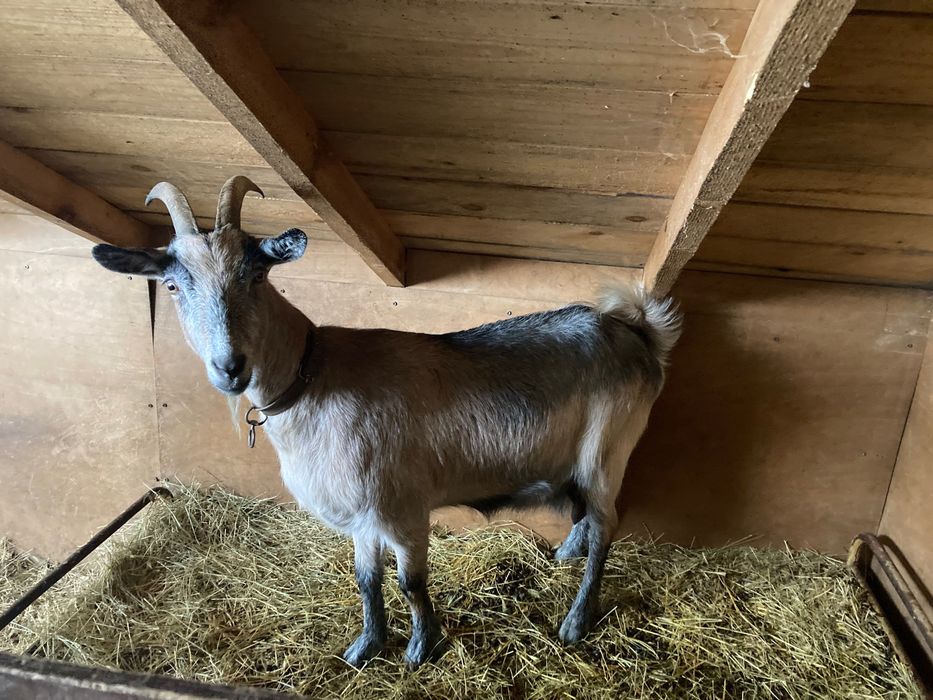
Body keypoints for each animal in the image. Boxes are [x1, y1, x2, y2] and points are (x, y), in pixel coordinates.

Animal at [91, 176, 681, 669]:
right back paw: (562, 556)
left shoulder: (402, 509)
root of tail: (635, 333)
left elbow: (409, 583)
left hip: (607, 452)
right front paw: (365, 647)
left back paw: (576, 622)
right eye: (173, 286)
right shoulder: (361, 516)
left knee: (605, 528)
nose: (230, 367)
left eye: (256, 274)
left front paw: (422, 649)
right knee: (584, 517)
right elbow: (366, 581)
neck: (312, 378)